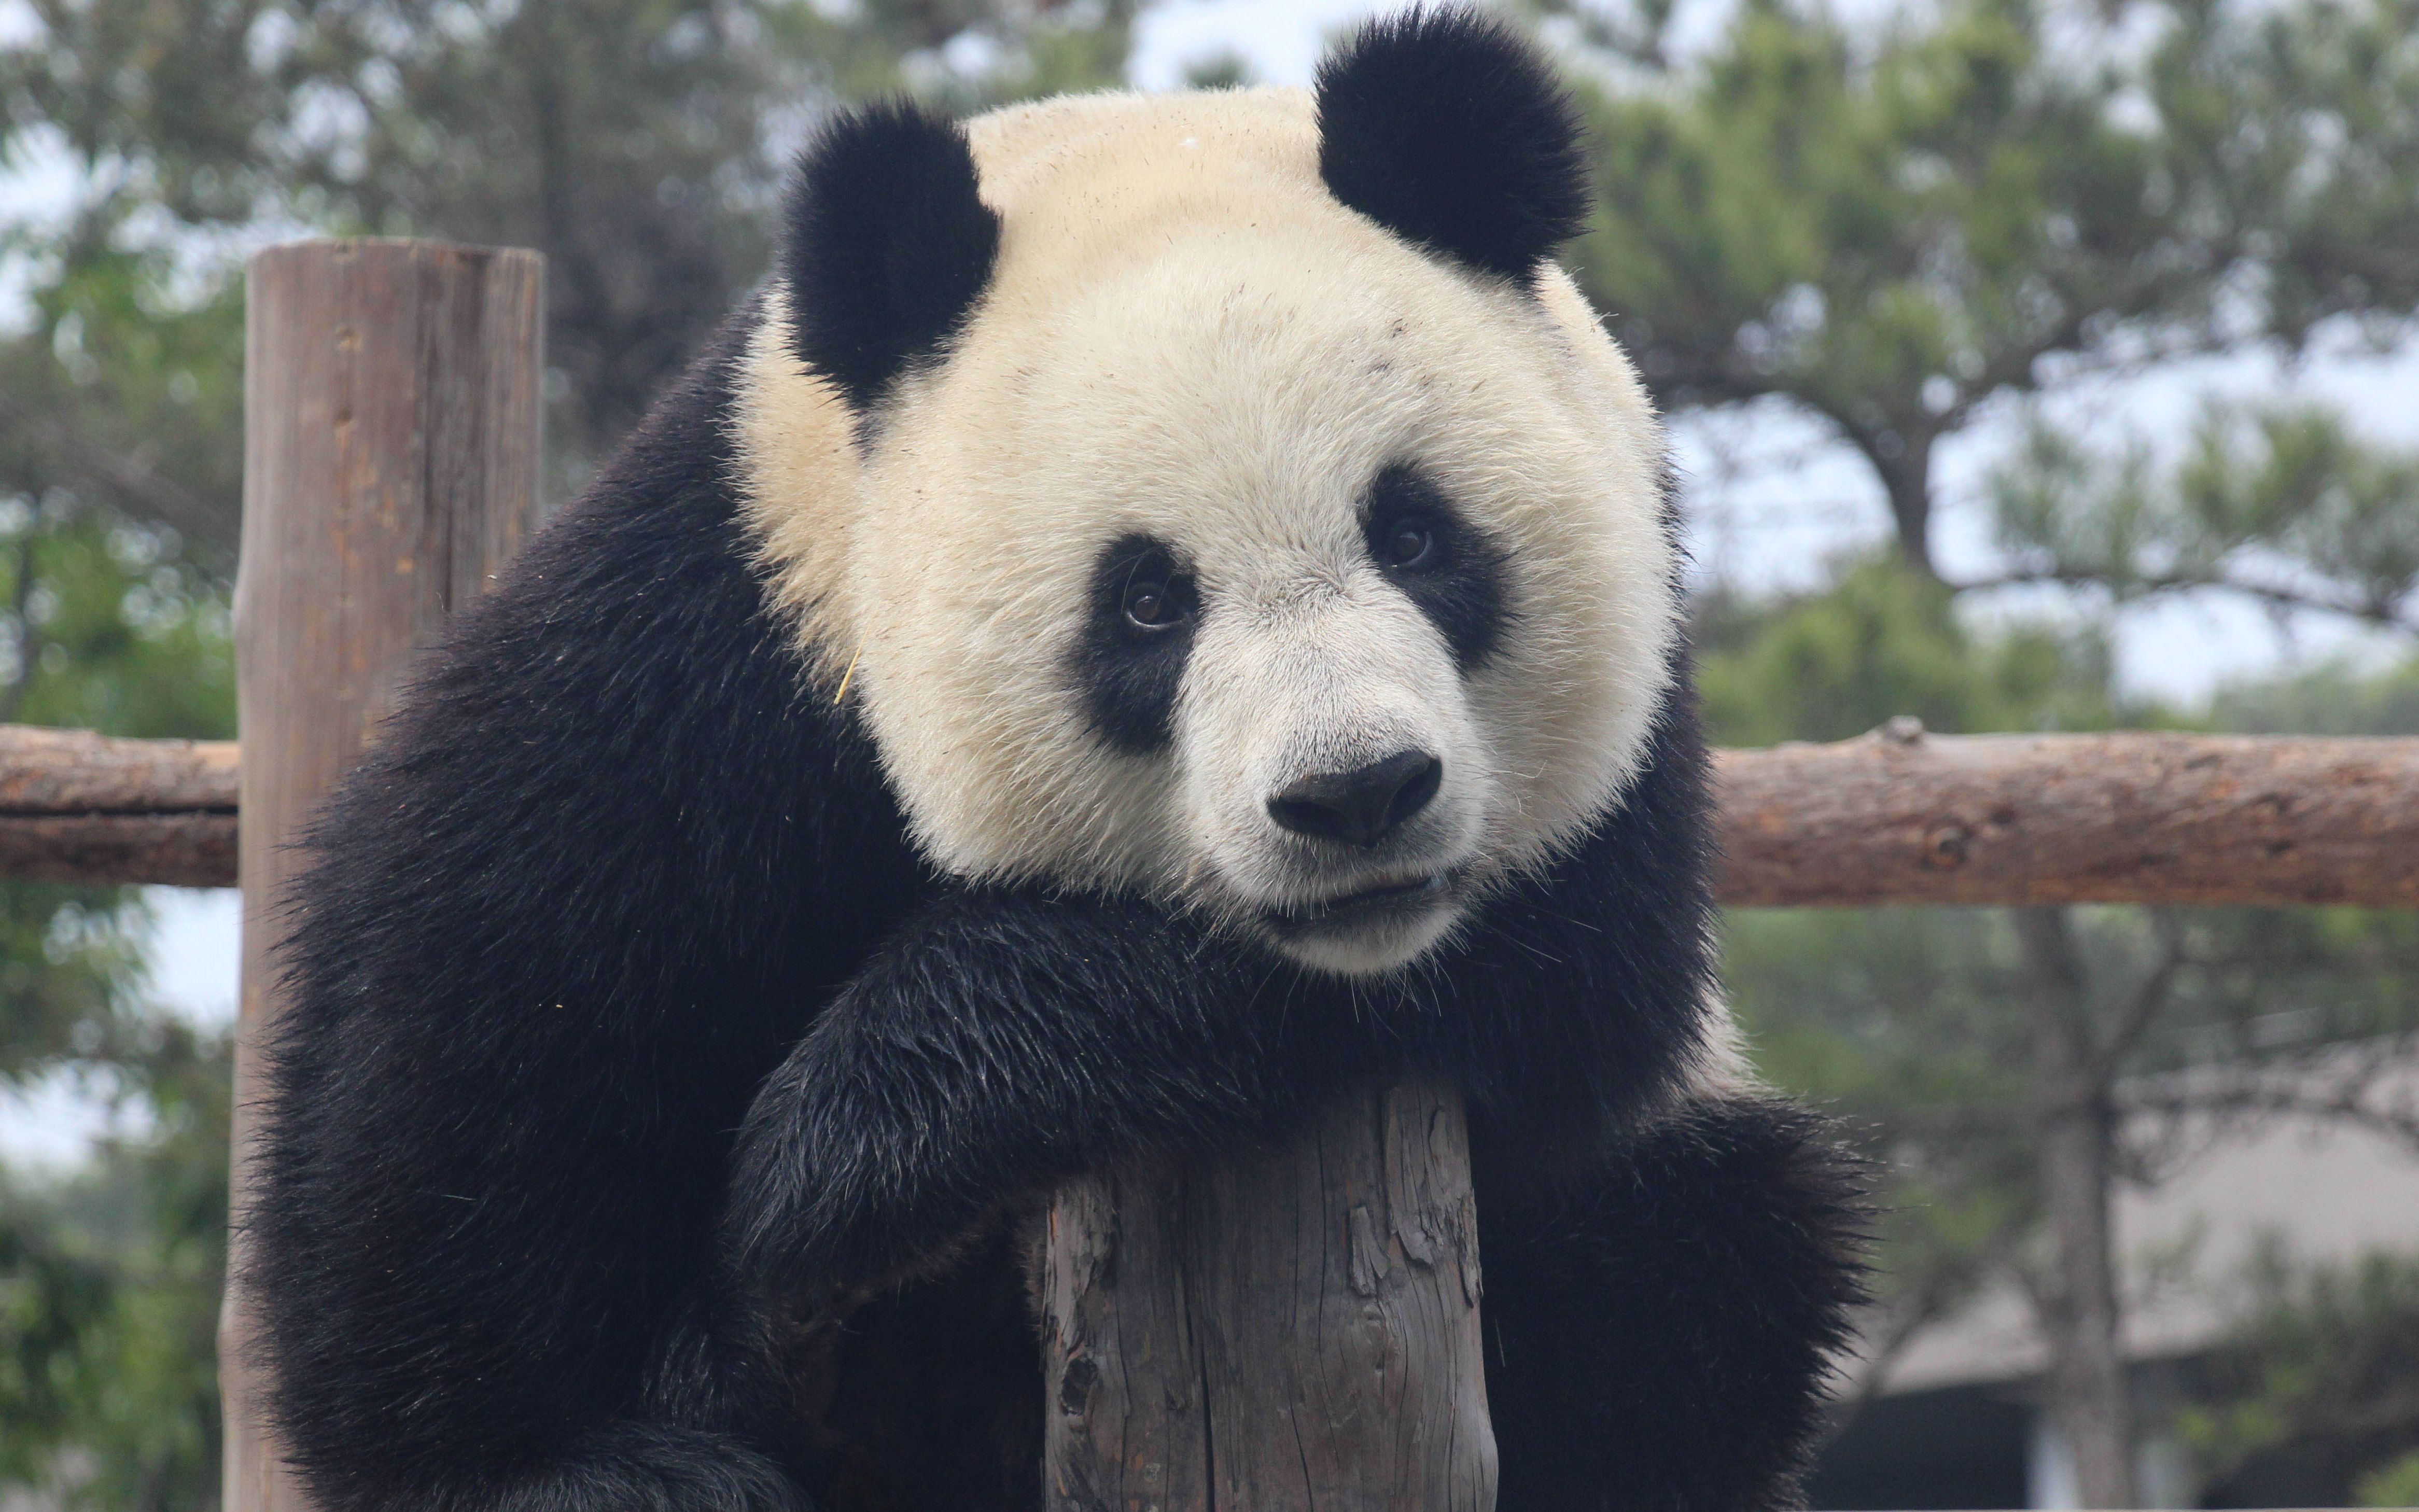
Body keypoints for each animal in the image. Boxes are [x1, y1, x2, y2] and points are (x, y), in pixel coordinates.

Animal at [245, 11, 1857, 1509]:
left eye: (1413, 533)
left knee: (1705, 1252)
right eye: (1147, 599)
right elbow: (489, 977)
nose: (1353, 796)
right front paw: (592, 1456)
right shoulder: (726, 618)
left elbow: (1573, 982)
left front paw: (866, 1150)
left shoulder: (1632, 744)